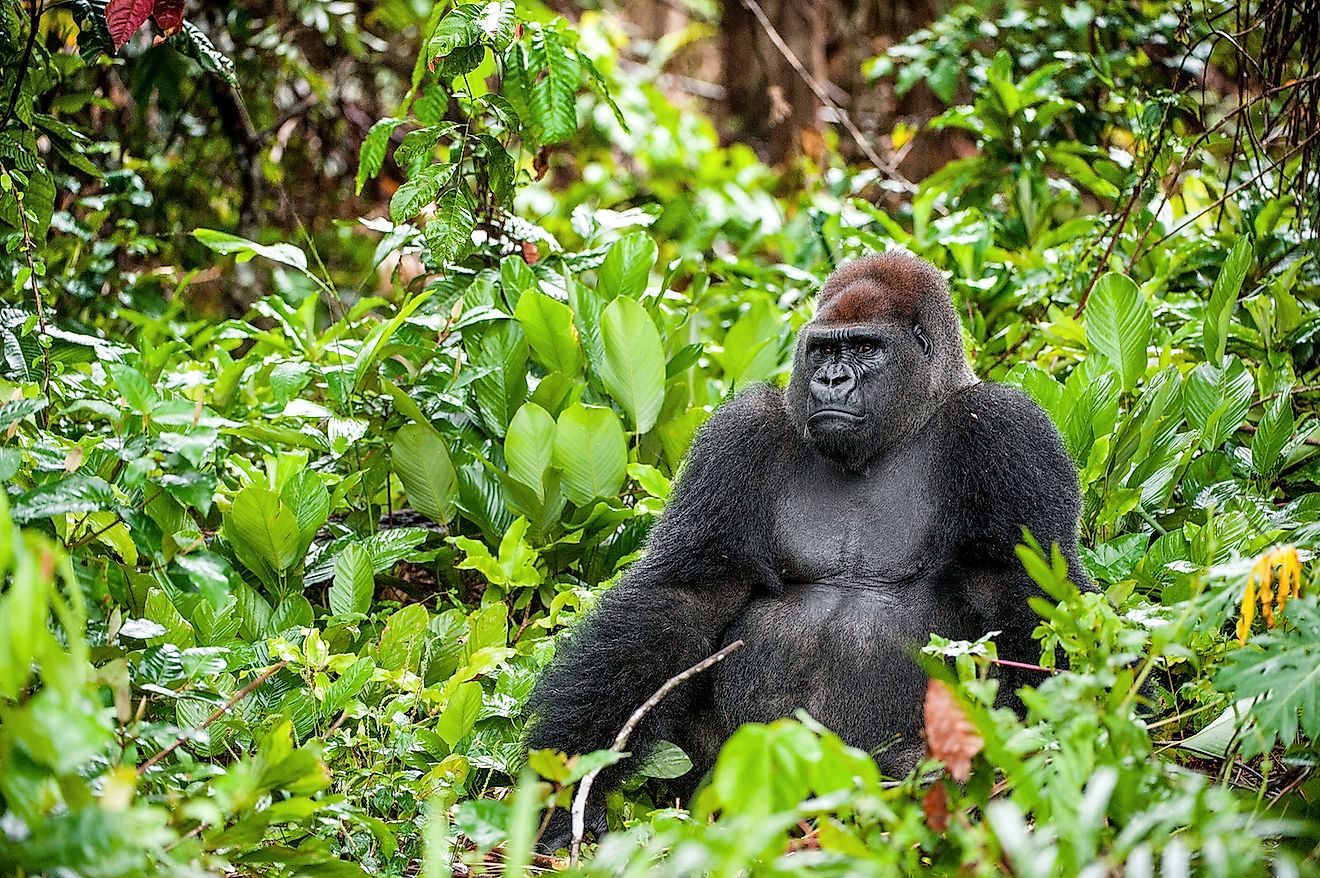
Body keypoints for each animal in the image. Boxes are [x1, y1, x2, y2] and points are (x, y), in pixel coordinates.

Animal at [520, 249, 1087, 839]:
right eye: (823, 350)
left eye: (866, 349)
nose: (831, 379)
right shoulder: (740, 433)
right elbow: (687, 595)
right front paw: (567, 787)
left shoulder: (1007, 429)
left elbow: (1024, 592)